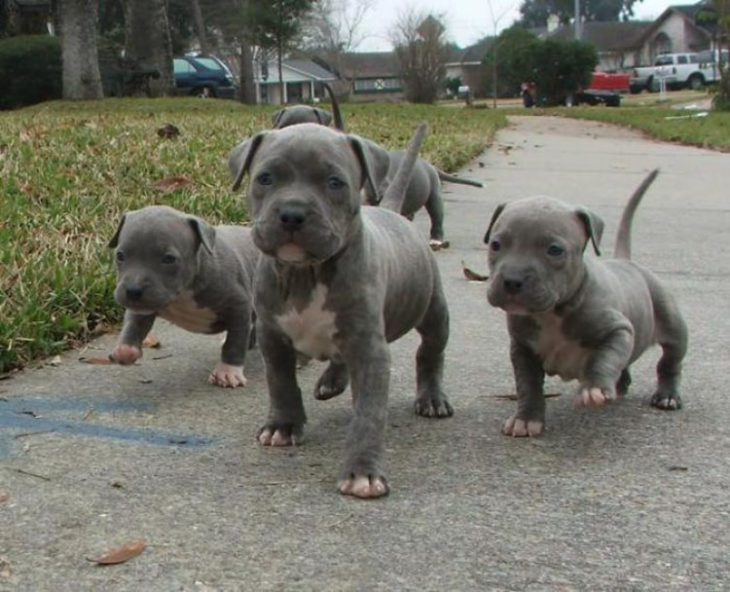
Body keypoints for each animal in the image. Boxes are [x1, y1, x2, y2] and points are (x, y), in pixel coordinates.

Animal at [106, 205, 258, 388]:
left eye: (169, 259)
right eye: (120, 255)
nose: (133, 290)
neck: (182, 294)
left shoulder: (239, 305)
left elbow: (235, 341)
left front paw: (228, 371)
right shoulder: (143, 306)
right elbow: (134, 324)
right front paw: (125, 350)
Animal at [228, 122, 450, 498]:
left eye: (334, 182)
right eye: (265, 178)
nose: (292, 214)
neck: (306, 273)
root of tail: (392, 210)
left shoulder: (369, 351)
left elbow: (368, 415)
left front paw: (363, 472)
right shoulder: (273, 338)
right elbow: (281, 383)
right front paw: (283, 426)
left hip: (433, 310)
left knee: (430, 352)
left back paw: (432, 398)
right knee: (338, 356)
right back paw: (332, 381)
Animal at [480, 169, 684, 438]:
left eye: (555, 250)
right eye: (495, 245)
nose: (512, 280)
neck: (552, 312)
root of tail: (626, 260)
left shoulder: (618, 330)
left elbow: (605, 358)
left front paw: (594, 387)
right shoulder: (523, 349)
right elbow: (527, 385)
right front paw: (525, 419)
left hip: (671, 322)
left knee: (670, 361)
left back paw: (667, 395)